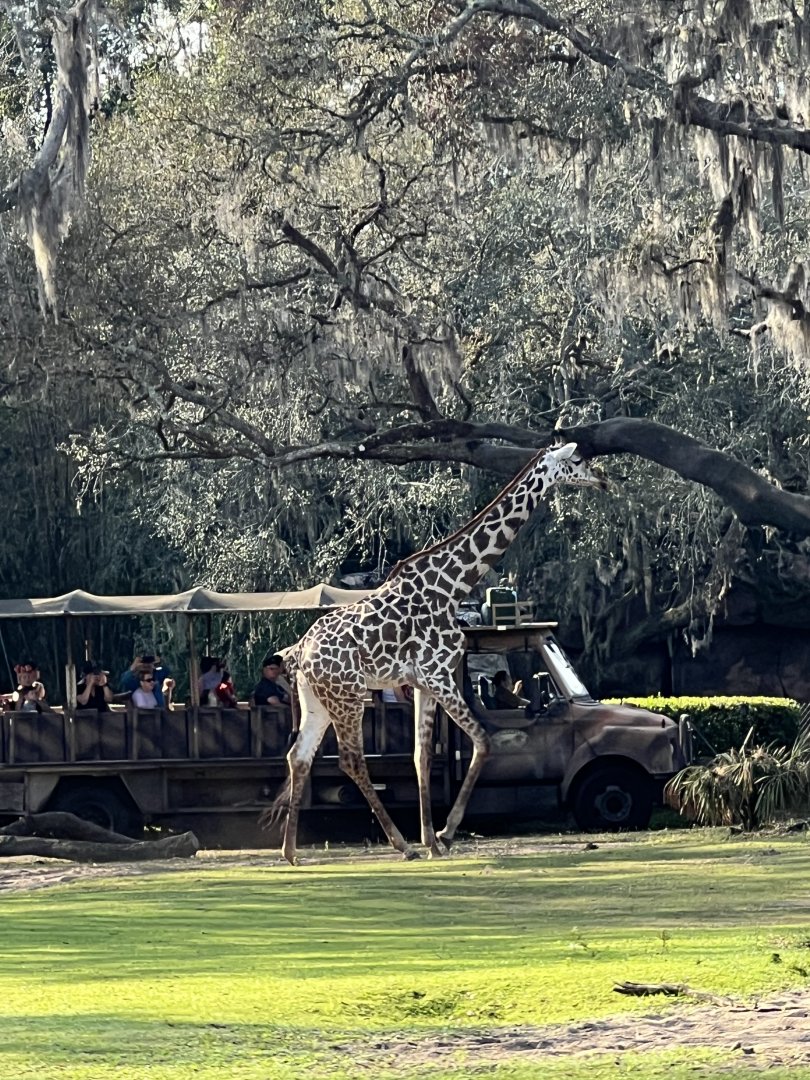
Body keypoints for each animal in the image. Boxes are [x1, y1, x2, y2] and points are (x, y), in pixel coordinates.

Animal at [265, 442, 606, 864]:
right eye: (576, 461)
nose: (603, 480)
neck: (454, 585)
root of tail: (300, 653)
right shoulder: (439, 672)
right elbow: (483, 740)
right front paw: (444, 833)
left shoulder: (423, 682)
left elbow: (421, 755)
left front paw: (432, 838)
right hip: (349, 695)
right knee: (350, 759)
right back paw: (401, 845)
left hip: (317, 698)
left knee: (298, 755)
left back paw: (290, 851)